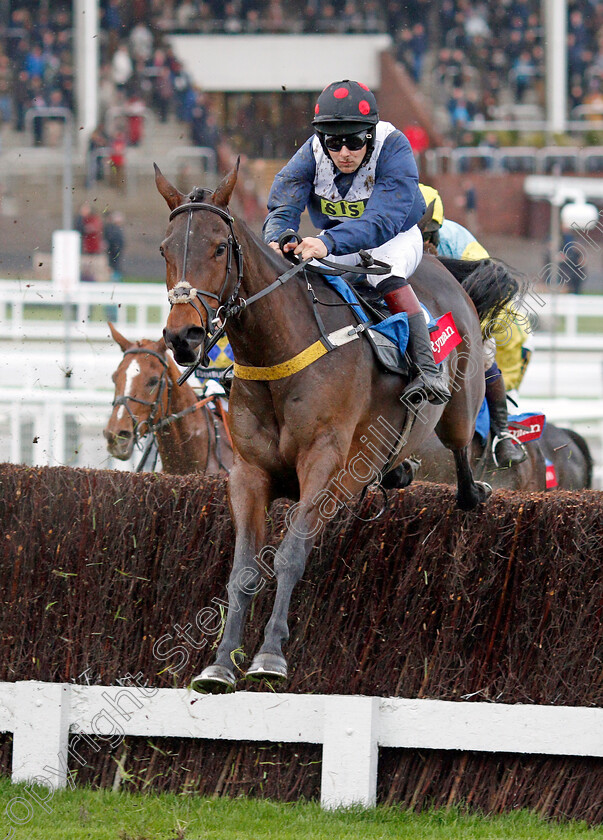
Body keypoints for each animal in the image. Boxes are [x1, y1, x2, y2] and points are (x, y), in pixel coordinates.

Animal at [157, 161, 520, 692]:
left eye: (219, 247)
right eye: (165, 250)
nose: (183, 336)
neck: (280, 354)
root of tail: (440, 264)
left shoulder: (324, 466)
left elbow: (289, 555)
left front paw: (269, 656)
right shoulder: (248, 474)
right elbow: (242, 570)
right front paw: (221, 663)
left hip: (458, 401)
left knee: (461, 452)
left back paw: (475, 484)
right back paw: (397, 470)